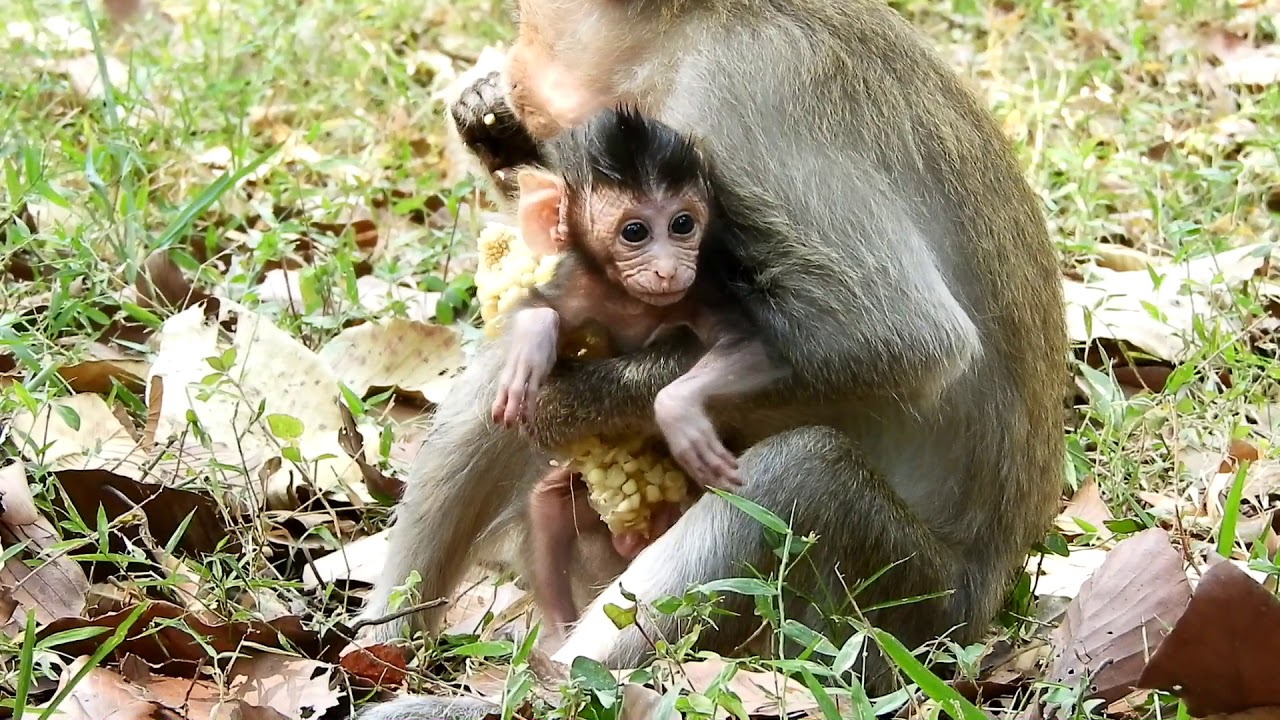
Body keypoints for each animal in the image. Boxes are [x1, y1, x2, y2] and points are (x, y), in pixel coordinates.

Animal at [357, 0, 1066, 713]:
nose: (519, 75)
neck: (683, 30)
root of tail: (977, 616)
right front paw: (488, 122)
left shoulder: (741, 100)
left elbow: (903, 339)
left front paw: (576, 403)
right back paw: (385, 646)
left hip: (895, 608)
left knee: (803, 472)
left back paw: (551, 694)